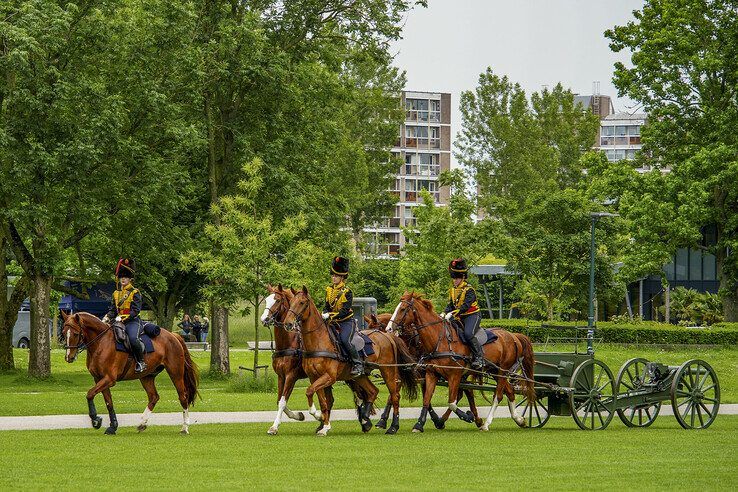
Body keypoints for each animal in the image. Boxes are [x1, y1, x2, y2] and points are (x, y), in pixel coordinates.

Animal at [60, 312, 200, 434]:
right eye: (63, 333)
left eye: (76, 334)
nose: (69, 357)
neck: (101, 342)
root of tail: (173, 335)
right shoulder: (99, 379)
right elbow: (108, 403)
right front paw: (113, 426)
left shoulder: (109, 379)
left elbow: (89, 394)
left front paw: (96, 420)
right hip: (146, 376)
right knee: (154, 397)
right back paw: (142, 423)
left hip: (175, 373)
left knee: (183, 397)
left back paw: (184, 427)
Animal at [282, 286, 416, 436]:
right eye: (291, 302)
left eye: (302, 303)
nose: (288, 323)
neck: (319, 341)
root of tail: (388, 336)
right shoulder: (314, 377)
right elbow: (321, 400)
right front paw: (323, 424)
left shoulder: (329, 377)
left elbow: (310, 392)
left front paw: (319, 418)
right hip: (360, 376)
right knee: (373, 391)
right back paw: (365, 420)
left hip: (388, 371)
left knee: (394, 396)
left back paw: (393, 426)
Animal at [386, 292, 536, 430]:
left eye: (403, 309)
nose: (389, 329)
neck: (440, 340)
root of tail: (513, 336)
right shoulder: (431, 374)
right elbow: (427, 400)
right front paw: (419, 424)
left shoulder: (455, 376)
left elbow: (452, 402)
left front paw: (467, 416)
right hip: (496, 371)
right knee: (510, 391)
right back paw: (519, 419)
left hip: (502, 372)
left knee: (498, 395)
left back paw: (486, 423)